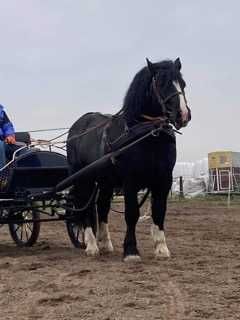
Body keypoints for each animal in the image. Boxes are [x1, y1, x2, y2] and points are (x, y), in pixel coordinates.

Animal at [66, 57, 190, 262]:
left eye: (183, 83)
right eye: (161, 83)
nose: (183, 115)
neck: (149, 135)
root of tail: (78, 125)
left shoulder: (164, 179)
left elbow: (159, 211)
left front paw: (161, 248)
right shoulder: (130, 181)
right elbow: (132, 213)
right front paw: (131, 251)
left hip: (105, 182)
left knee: (102, 207)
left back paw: (105, 244)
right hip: (84, 179)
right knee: (85, 208)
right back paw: (91, 245)